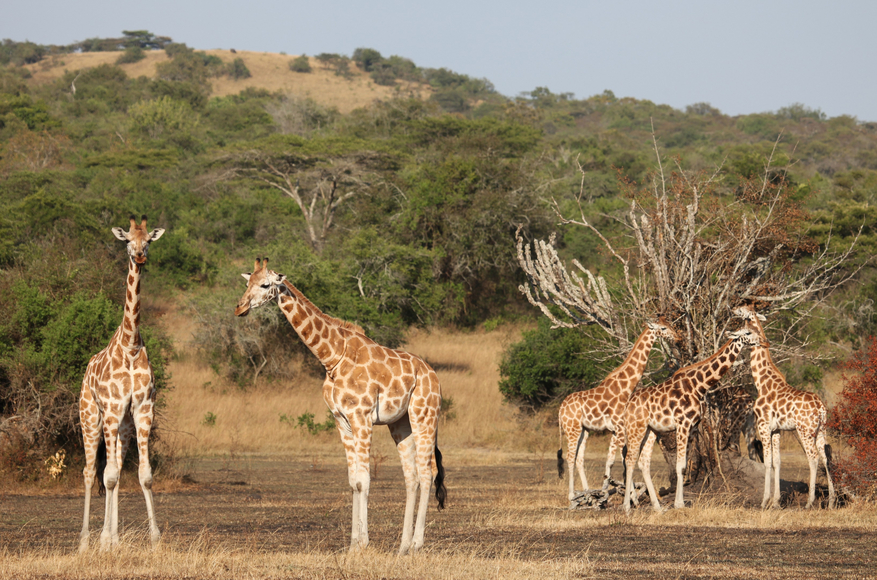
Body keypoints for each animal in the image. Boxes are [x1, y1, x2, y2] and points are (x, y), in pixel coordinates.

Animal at [78, 215, 164, 552]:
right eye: (127, 239)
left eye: (149, 240)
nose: (139, 256)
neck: (129, 345)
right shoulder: (112, 409)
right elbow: (109, 476)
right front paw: (102, 541)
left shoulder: (142, 410)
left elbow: (143, 475)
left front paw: (155, 539)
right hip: (91, 418)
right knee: (91, 472)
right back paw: (85, 542)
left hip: (122, 427)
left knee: (110, 467)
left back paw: (111, 538)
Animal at [233, 258, 444, 552]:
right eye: (247, 283)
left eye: (265, 285)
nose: (239, 308)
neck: (332, 357)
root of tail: (434, 376)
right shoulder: (341, 421)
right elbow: (354, 482)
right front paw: (354, 544)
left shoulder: (362, 417)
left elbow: (365, 481)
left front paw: (363, 544)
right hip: (400, 424)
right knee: (411, 477)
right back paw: (402, 546)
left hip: (424, 415)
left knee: (427, 473)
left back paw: (416, 545)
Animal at [556, 320, 676, 500]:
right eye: (663, 328)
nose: (676, 336)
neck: (626, 386)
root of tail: (561, 409)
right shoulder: (620, 426)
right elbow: (625, 458)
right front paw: (632, 496)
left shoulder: (614, 429)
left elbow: (611, 461)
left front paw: (606, 490)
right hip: (572, 428)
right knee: (570, 457)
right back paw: (571, 495)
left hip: (584, 430)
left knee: (579, 459)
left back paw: (587, 492)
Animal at [620, 326, 764, 512]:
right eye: (747, 333)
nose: (762, 341)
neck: (699, 385)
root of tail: (628, 404)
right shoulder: (682, 424)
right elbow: (680, 465)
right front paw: (679, 504)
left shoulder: (693, 427)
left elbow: (685, 465)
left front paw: (679, 503)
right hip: (635, 427)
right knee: (629, 459)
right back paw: (626, 507)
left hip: (651, 430)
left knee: (643, 461)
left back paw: (657, 508)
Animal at [732, 306, 836, 510]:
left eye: (747, 331)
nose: (733, 308)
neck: (762, 382)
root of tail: (821, 408)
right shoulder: (776, 430)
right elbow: (777, 462)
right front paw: (776, 502)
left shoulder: (763, 426)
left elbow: (767, 462)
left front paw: (765, 501)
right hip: (821, 430)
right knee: (826, 457)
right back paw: (831, 501)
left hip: (805, 430)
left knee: (813, 457)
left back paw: (810, 502)